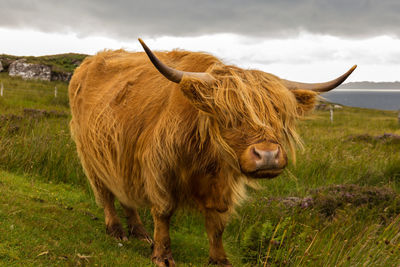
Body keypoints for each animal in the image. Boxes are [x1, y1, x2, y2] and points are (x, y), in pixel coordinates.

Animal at [69, 38, 356, 266]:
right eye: (228, 115)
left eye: (278, 114)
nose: (267, 155)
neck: (205, 157)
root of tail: (89, 62)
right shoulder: (159, 168)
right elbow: (163, 212)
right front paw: (162, 255)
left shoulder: (223, 182)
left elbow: (217, 224)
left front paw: (219, 259)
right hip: (91, 156)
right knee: (106, 193)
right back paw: (117, 229)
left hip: (119, 158)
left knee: (125, 192)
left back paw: (139, 232)